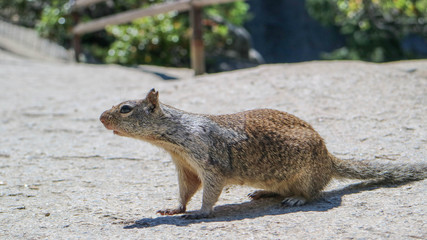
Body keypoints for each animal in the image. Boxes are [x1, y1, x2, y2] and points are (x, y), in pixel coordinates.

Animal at [99, 88, 427, 219]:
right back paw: (263, 192)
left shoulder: (208, 162)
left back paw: (295, 199)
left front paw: (201, 212)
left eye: (125, 109)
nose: (101, 118)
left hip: (307, 174)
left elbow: (210, 191)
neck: (173, 138)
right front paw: (174, 208)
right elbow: (185, 190)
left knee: (313, 193)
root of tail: (329, 159)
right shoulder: (185, 166)